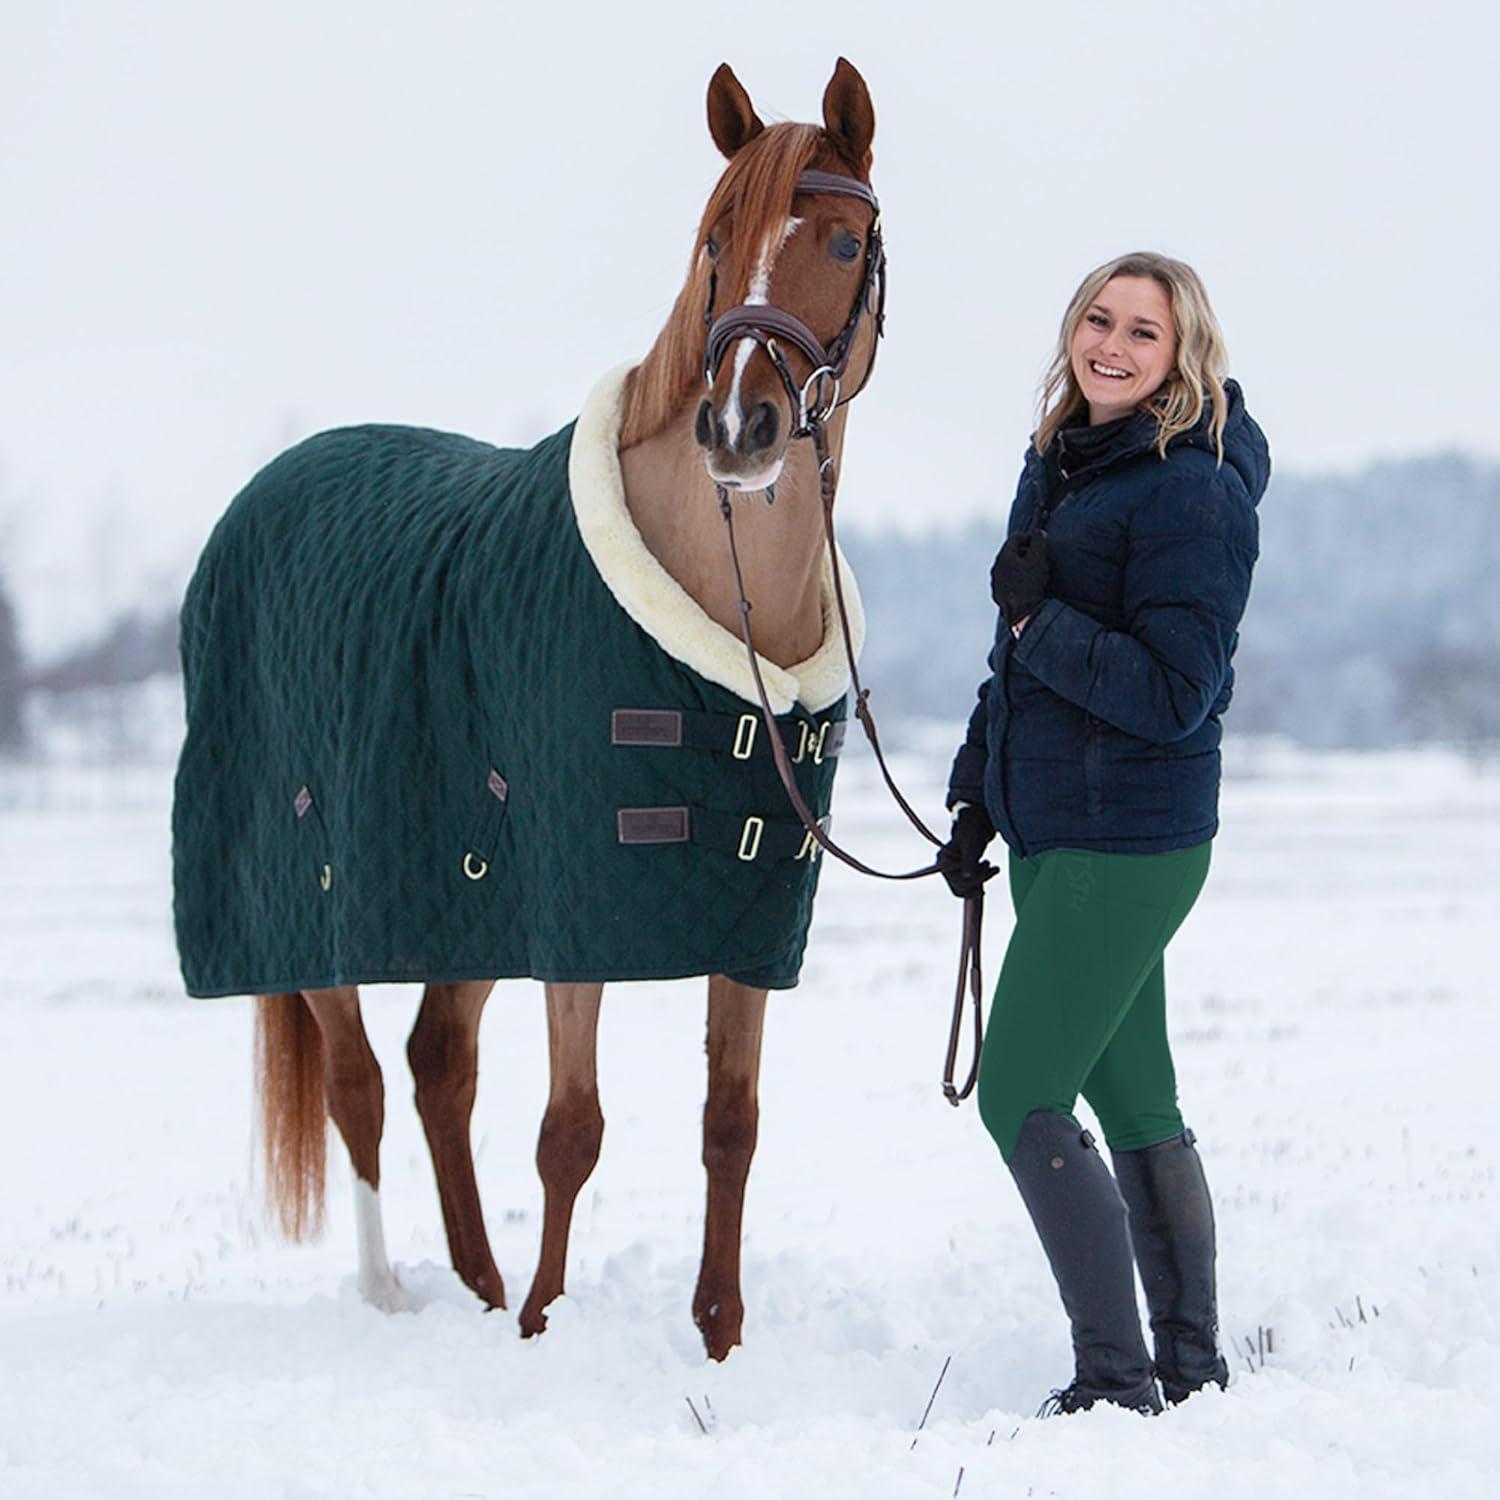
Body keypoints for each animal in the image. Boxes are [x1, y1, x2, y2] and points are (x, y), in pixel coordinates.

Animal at [172, 58, 884, 1362]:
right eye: (714, 241)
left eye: (846, 240)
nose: (740, 428)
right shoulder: (572, 919)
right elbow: (572, 1129)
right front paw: (550, 1326)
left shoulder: (747, 924)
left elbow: (731, 1123)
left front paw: (715, 1338)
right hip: (316, 906)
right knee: (359, 1084)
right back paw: (395, 1294)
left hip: (460, 908)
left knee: (437, 1063)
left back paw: (479, 1284)